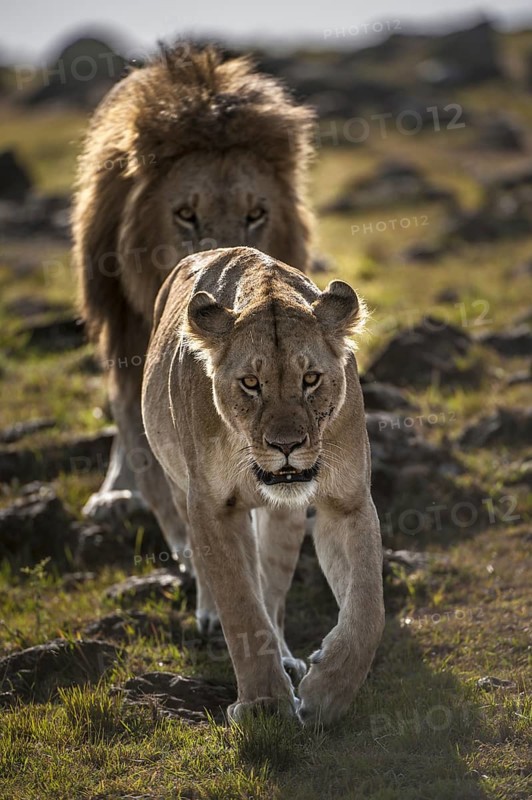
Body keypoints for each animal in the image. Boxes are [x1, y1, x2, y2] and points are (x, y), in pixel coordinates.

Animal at [141, 246, 385, 725]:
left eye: (311, 379)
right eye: (251, 384)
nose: (286, 446)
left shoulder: (347, 502)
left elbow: (368, 607)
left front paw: (327, 692)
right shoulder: (212, 507)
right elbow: (240, 607)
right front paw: (265, 705)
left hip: (284, 519)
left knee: (271, 592)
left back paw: (288, 657)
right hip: (177, 482)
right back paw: (210, 617)